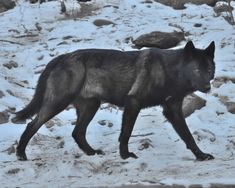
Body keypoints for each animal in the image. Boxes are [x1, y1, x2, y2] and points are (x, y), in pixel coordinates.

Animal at [12, 41, 215, 162]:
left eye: (209, 69)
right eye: (197, 70)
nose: (207, 87)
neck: (170, 71)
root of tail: (60, 58)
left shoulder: (173, 110)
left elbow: (188, 136)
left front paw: (201, 155)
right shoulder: (133, 103)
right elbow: (126, 133)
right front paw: (125, 155)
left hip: (91, 106)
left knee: (77, 132)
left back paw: (91, 153)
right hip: (58, 103)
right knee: (32, 124)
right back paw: (21, 154)